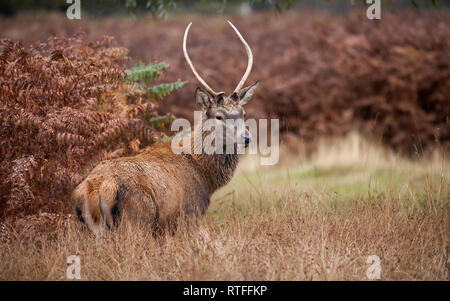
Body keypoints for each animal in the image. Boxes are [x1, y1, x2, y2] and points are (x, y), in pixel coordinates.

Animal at [72, 21, 258, 233]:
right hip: (137, 218)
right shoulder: (188, 214)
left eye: (243, 113)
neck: (205, 176)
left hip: (88, 226)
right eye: (219, 116)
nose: (247, 137)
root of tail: (96, 188)